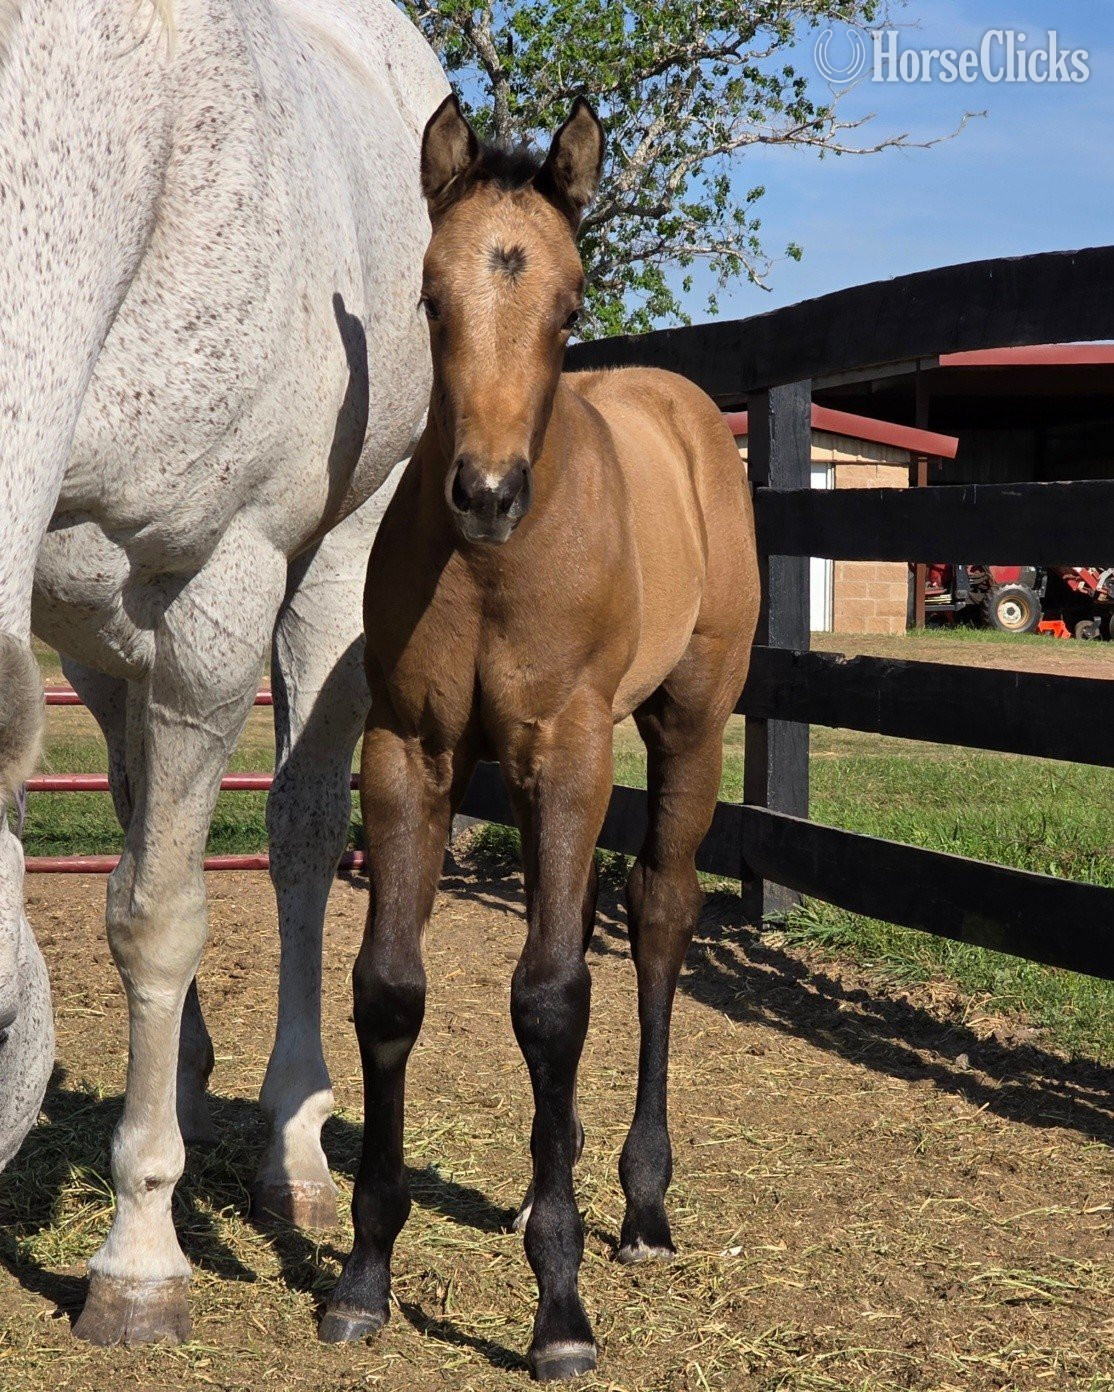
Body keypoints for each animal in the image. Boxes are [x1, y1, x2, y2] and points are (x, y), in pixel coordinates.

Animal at [0, 0, 447, 1344]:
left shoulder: (220, 601)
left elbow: (161, 915)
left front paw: (139, 1257)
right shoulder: (68, 607)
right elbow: (136, 868)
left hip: (335, 574)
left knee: (299, 836)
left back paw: (292, 1148)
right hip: (99, 638)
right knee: (144, 802)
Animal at [321, 95, 761, 1381]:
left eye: (569, 305)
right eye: (429, 296)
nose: (484, 493)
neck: (490, 574)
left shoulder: (569, 755)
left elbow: (554, 999)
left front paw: (559, 1310)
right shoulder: (409, 752)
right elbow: (390, 988)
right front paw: (363, 1276)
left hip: (687, 725)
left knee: (657, 916)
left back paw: (642, 1207)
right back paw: (534, 1187)